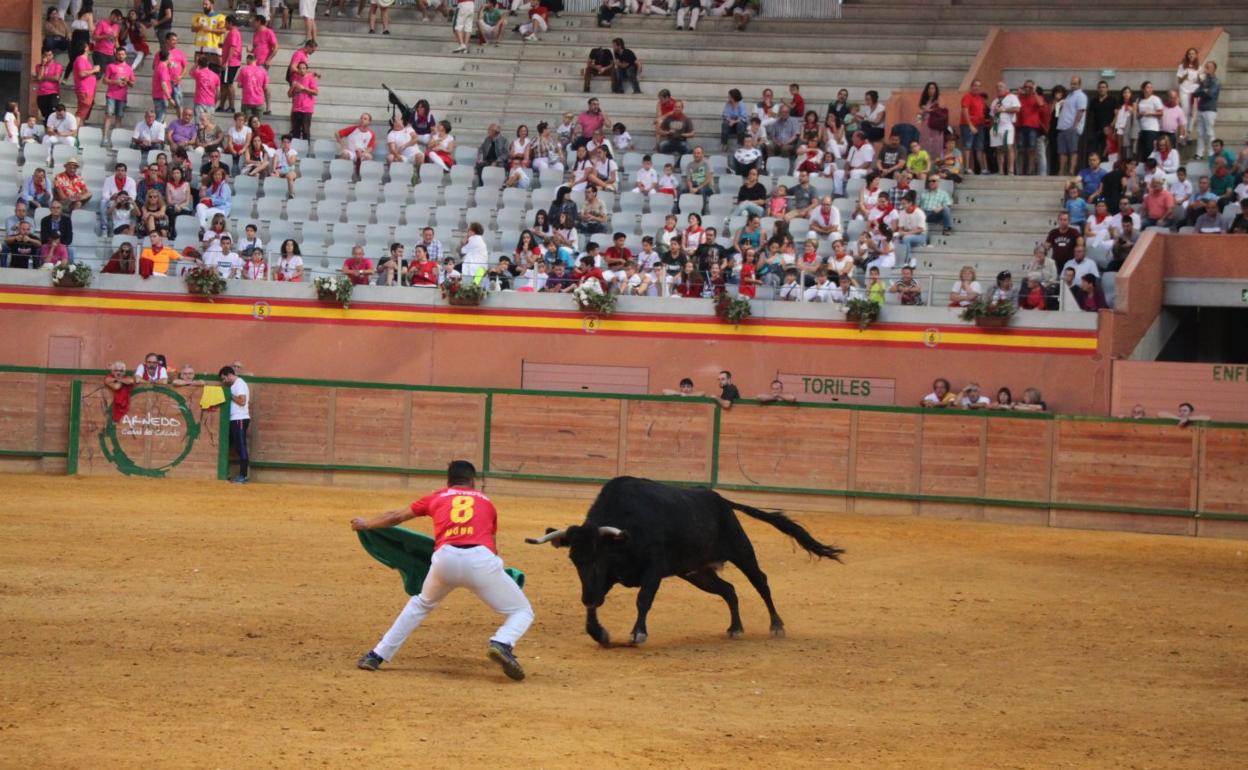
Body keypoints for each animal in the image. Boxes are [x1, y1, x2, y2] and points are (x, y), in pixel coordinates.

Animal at [521, 474, 843, 643]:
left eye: (599, 557)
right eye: (574, 560)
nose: (586, 597)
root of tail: (720, 500)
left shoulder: (653, 569)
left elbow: (643, 600)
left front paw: (638, 633)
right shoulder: (609, 579)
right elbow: (596, 604)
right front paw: (598, 633)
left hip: (742, 551)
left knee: (760, 583)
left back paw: (776, 625)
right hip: (697, 572)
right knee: (729, 590)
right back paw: (735, 628)